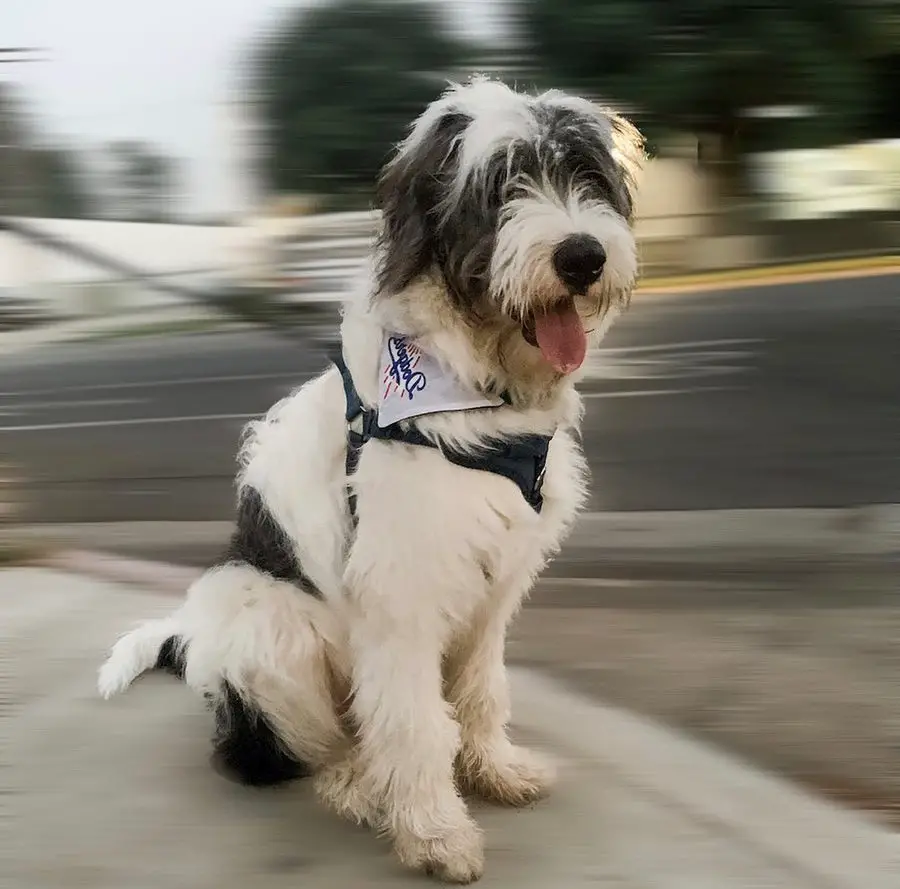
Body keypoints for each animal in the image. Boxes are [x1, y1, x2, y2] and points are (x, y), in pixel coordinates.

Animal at [98, 76, 644, 880]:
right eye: (498, 186)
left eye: (587, 175)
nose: (583, 256)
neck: (469, 388)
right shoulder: (400, 595)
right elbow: (416, 725)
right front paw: (435, 833)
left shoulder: (495, 588)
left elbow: (481, 692)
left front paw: (495, 770)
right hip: (266, 619)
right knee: (277, 751)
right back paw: (355, 781)